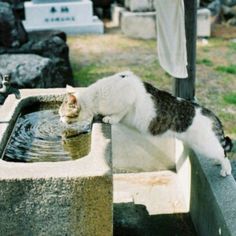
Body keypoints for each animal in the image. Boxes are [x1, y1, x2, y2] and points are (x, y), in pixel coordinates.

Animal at [58, 71, 232, 176]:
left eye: (63, 115)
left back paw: (225, 169)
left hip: (205, 145)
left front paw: (110, 118)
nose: (59, 120)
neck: (97, 95)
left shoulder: (129, 97)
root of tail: (210, 113)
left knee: (224, 154)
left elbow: (119, 113)